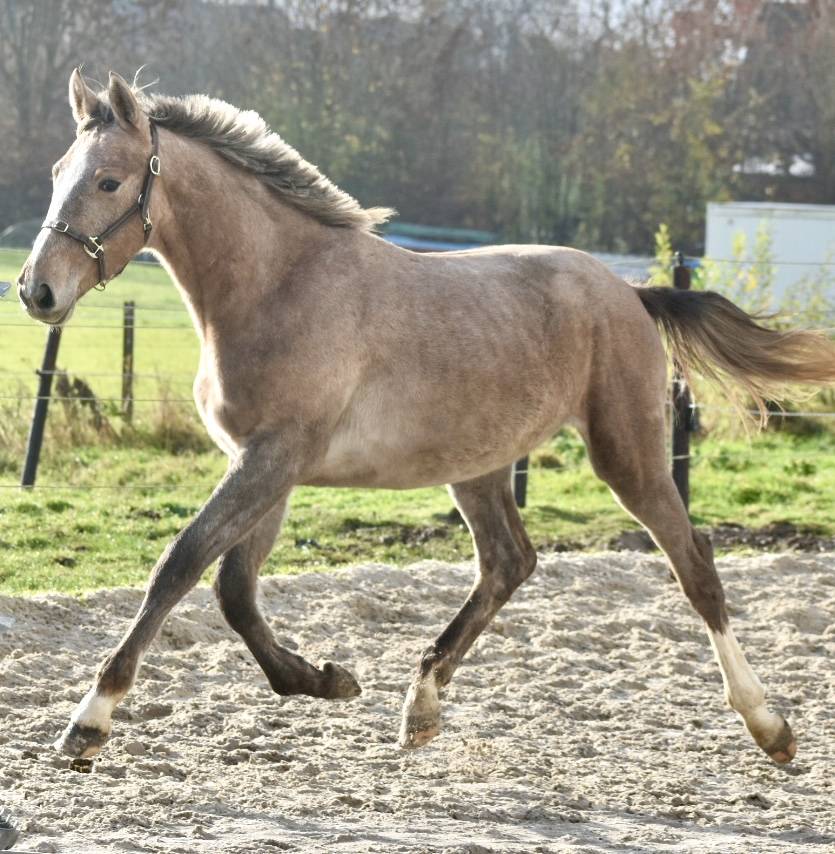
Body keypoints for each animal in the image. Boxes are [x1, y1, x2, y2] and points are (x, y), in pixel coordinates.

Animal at [17, 69, 835, 765]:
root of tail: (628, 291)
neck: (277, 284)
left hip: (625, 451)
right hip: (478, 466)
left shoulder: (272, 458)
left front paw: (88, 722)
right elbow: (235, 592)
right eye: (57, 173)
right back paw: (421, 706)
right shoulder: (265, 465)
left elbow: (179, 567)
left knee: (693, 564)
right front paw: (327, 679)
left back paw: (770, 727)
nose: (36, 291)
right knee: (508, 561)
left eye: (109, 179)